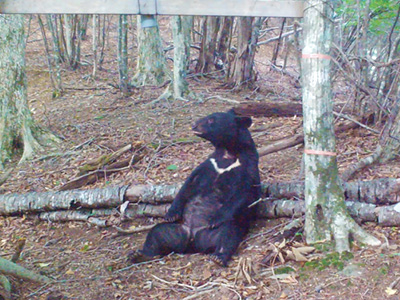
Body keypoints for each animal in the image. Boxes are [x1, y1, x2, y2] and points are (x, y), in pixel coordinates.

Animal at [130, 109, 262, 266]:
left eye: (211, 120)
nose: (194, 125)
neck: (228, 152)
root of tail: (193, 242)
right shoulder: (209, 163)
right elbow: (188, 184)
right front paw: (171, 214)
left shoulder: (247, 167)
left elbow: (243, 193)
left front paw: (214, 219)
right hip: (177, 231)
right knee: (157, 233)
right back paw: (141, 254)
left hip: (219, 231)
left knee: (228, 235)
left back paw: (219, 256)